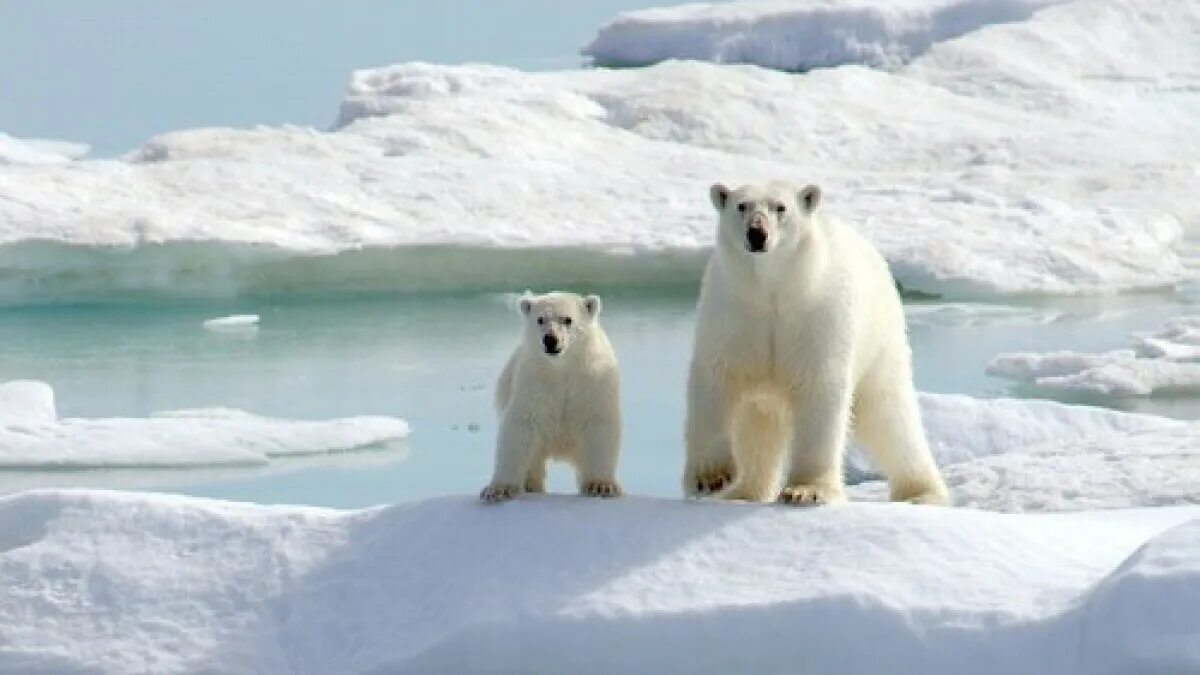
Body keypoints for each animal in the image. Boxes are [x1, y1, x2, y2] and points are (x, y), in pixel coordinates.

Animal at [480, 289, 624, 499]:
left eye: (568, 319)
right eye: (540, 319)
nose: (550, 339)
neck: (562, 368)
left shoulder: (593, 381)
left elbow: (598, 425)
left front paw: (601, 485)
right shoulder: (534, 381)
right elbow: (520, 425)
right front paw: (499, 489)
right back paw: (531, 485)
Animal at [686, 180, 945, 504]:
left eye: (780, 207)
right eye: (741, 206)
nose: (757, 233)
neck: (772, 289)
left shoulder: (816, 315)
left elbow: (818, 387)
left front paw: (805, 490)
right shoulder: (733, 312)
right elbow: (716, 379)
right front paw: (711, 478)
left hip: (880, 342)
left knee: (889, 414)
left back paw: (921, 493)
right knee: (757, 424)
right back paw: (744, 491)